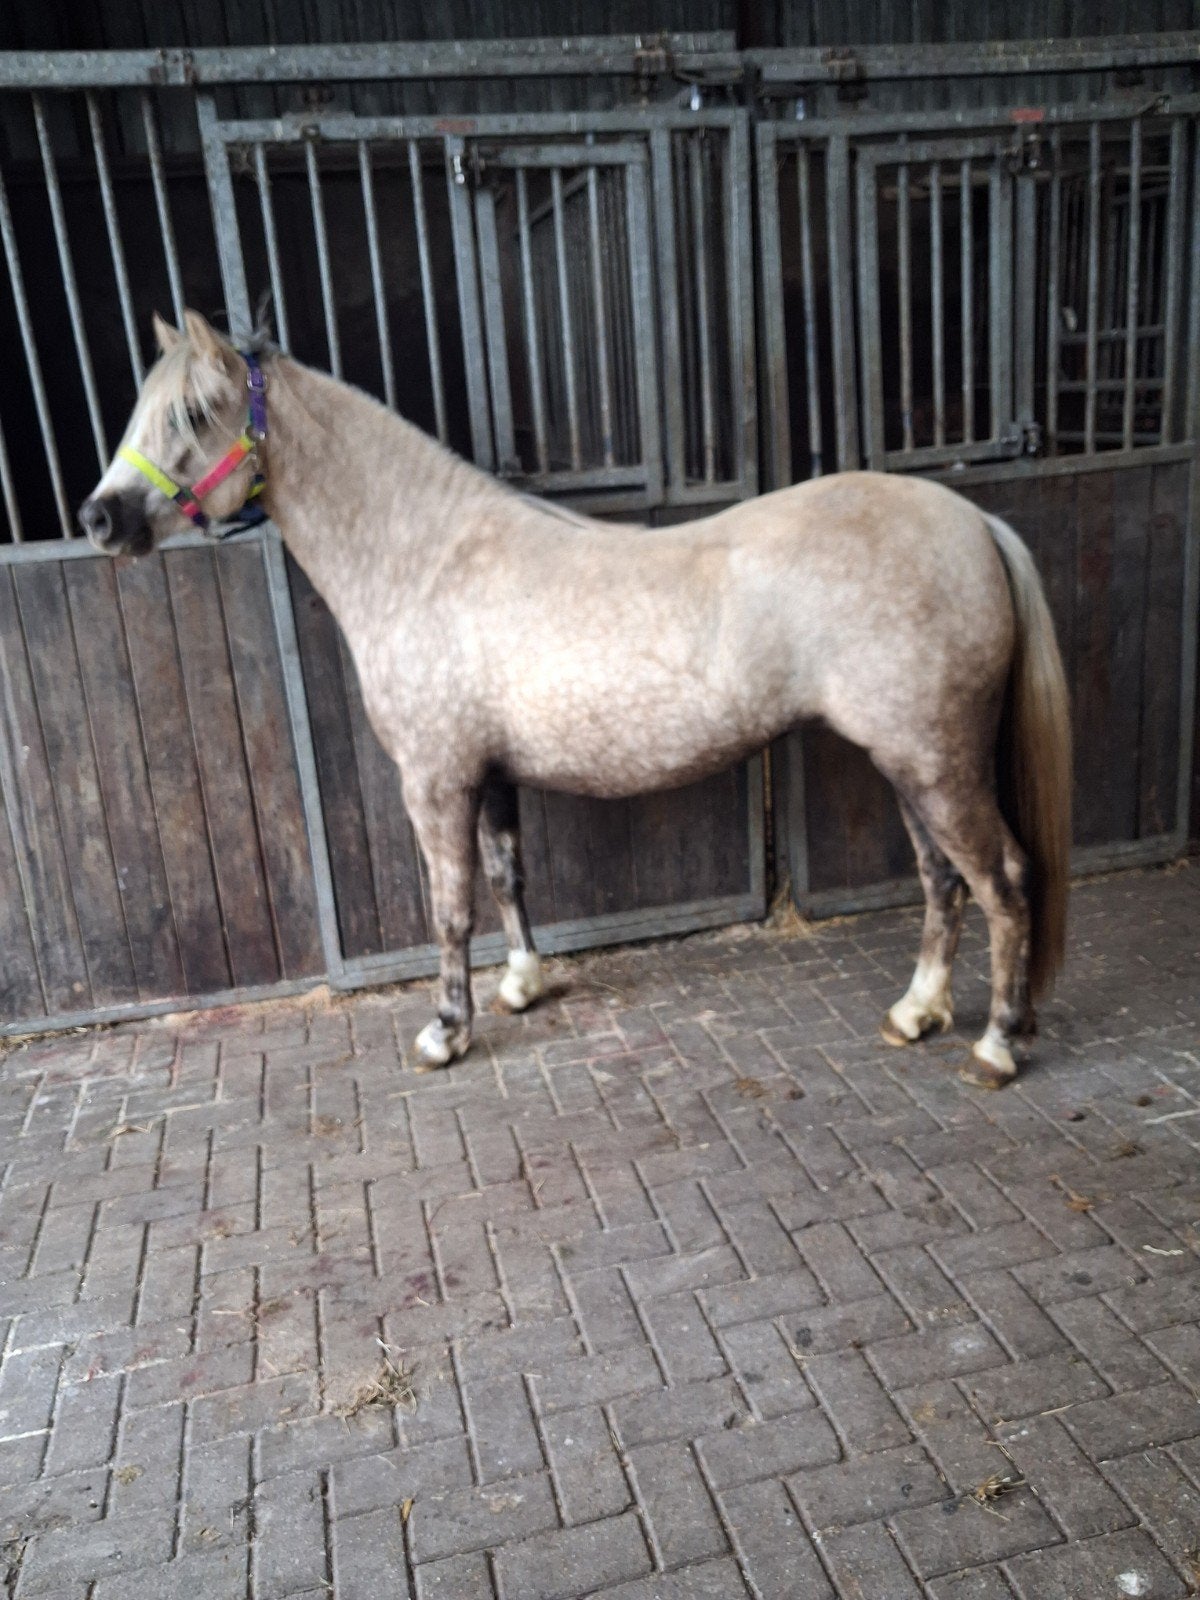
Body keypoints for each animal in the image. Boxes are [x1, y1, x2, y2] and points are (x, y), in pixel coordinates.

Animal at [78, 310, 1071, 1090]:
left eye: (193, 413)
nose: (100, 519)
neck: (427, 559)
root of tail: (972, 521)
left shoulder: (435, 781)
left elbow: (450, 907)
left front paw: (447, 1030)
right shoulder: (488, 775)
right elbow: (508, 876)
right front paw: (523, 986)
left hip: (936, 762)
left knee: (1004, 880)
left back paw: (995, 1045)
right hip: (907, 762)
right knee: (943, 880)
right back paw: (917, 1012)